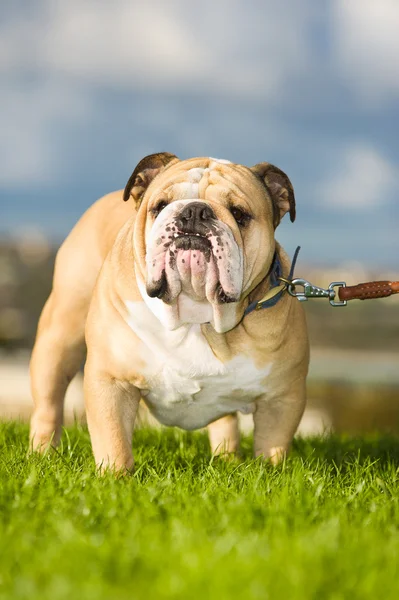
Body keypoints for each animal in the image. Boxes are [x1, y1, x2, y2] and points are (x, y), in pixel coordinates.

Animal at [30, 152, 310, 472]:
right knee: (48, 405)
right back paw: (41, 455)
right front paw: (116, 478)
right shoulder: (111, 381)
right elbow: (114, 442)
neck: (196, 315)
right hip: (59, 338)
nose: (195, 211)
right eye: (161, 206)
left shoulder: (282, 399)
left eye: (239, 214)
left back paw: (226, 459)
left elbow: (271, 449)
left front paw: (269, 473)